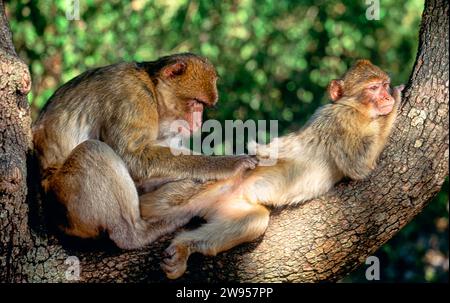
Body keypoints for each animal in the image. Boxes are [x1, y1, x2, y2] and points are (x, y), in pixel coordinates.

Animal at [32, 53, 256, 251]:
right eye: (195, 103)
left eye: (202, 106)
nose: (198, 123)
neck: (152, 88)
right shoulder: (132, 99)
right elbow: (134, 158)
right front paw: (228, 164)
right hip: (64, 197)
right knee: (92, 150)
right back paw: (135, 234)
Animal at [150, 60, 404, 280]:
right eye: (373, 88)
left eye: (383, 84)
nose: (386, 95)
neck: (357, 109)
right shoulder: (342, 120)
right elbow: (358, 167)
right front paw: (398, 98)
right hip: (207, 182)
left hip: (234, 206)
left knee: (255, 220)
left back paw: (184, 246)